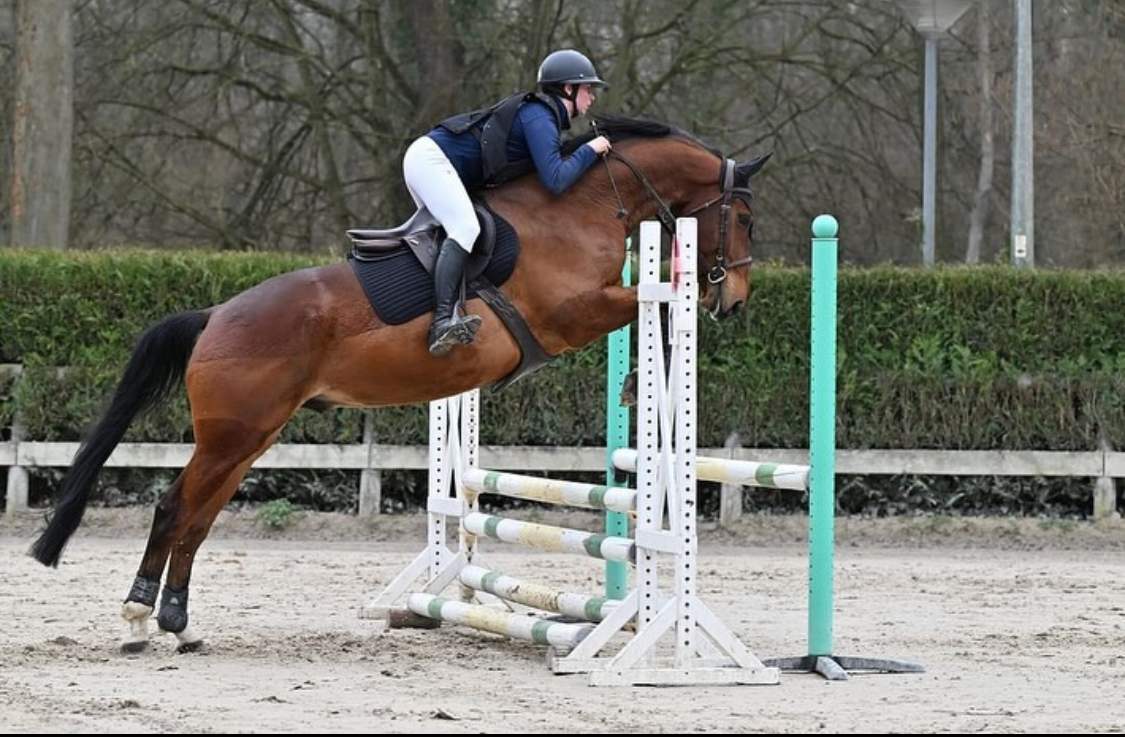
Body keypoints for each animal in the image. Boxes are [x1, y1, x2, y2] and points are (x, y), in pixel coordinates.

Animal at [28, 115, 770, 653]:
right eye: (744, 218)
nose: (734, 301)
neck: (581, 205)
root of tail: (213, 316)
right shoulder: (572, 313)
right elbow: (655, 299)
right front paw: (643, 378)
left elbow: (656, 301)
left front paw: (641, 380)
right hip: (231, 435)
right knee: (174, 509)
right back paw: (137, 619)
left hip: (250, 438)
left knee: (197, 518)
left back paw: (178, 625)